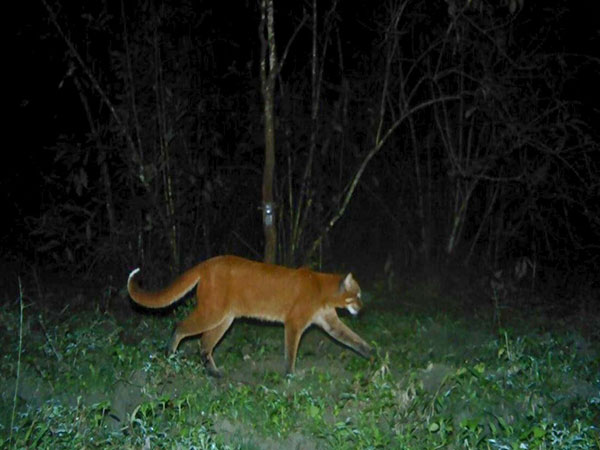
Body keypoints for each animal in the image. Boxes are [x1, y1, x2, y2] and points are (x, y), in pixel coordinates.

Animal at [126, 255, 370, 374]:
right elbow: (291, 351)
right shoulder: (294, 323)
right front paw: (290, 374)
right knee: (180, 327)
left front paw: (370, 353)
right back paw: (170, 355)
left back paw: (215, 373)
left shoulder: (330, 322)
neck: (322, 288)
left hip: (224, 319)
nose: (361, 307)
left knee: (204, 343)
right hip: (212, 313)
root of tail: (207, 263)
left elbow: (352, 338)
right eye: (357, 294)